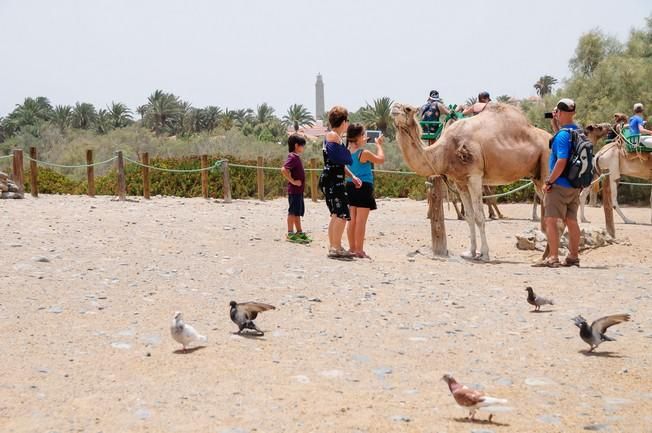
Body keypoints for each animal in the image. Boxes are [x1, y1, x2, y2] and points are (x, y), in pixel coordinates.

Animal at [390, 102, 552, 258]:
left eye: (408, 108)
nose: (394, 108)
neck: (444, 151)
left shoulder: (475, 176)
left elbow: (479, 216)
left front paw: (484, 254)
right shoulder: (460, 181)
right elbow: (469, 217)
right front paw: (471, 252)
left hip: (546, 161)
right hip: (536, 177)